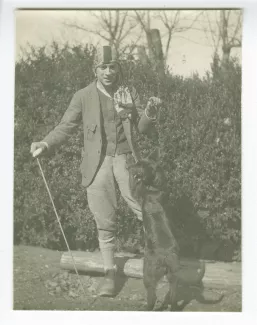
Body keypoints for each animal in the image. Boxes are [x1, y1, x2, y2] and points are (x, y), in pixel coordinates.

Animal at [128, 148, 180, 310]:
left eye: (139, 165)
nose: (130, 165)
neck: (156, 186)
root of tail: (166, 258)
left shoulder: (137, 192)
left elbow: (132, 185)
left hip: (149, 274)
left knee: (152, 295)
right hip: (173, 277)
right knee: (173, 295)